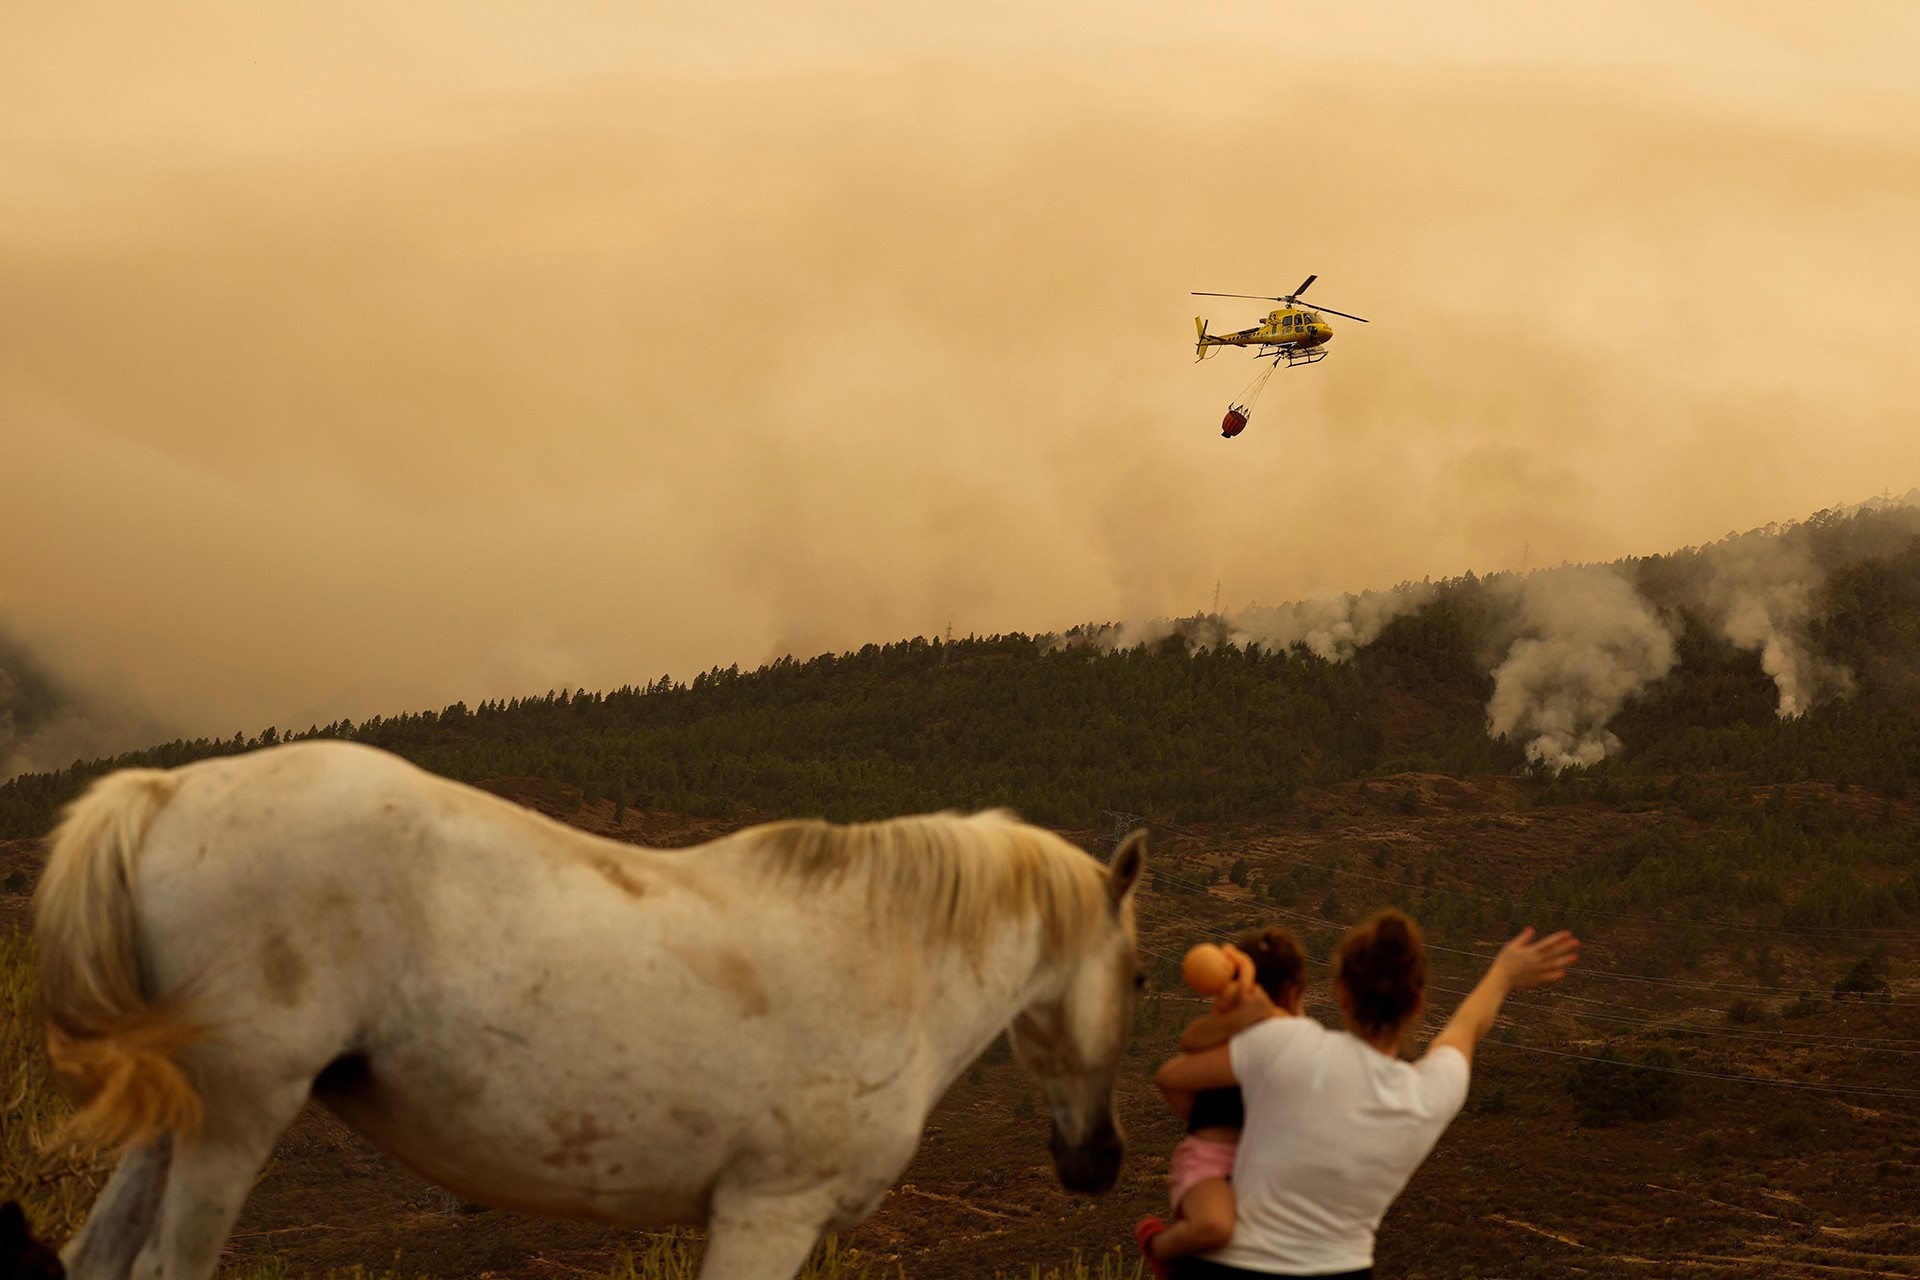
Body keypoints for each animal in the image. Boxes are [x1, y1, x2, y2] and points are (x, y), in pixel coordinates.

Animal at [37, 740, 1144, 1280]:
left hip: (175, 1117)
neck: (884, 955)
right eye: (1139, 976)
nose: (1098, 1160)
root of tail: (167, 791)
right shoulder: (768, 1210)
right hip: (238, 1113)